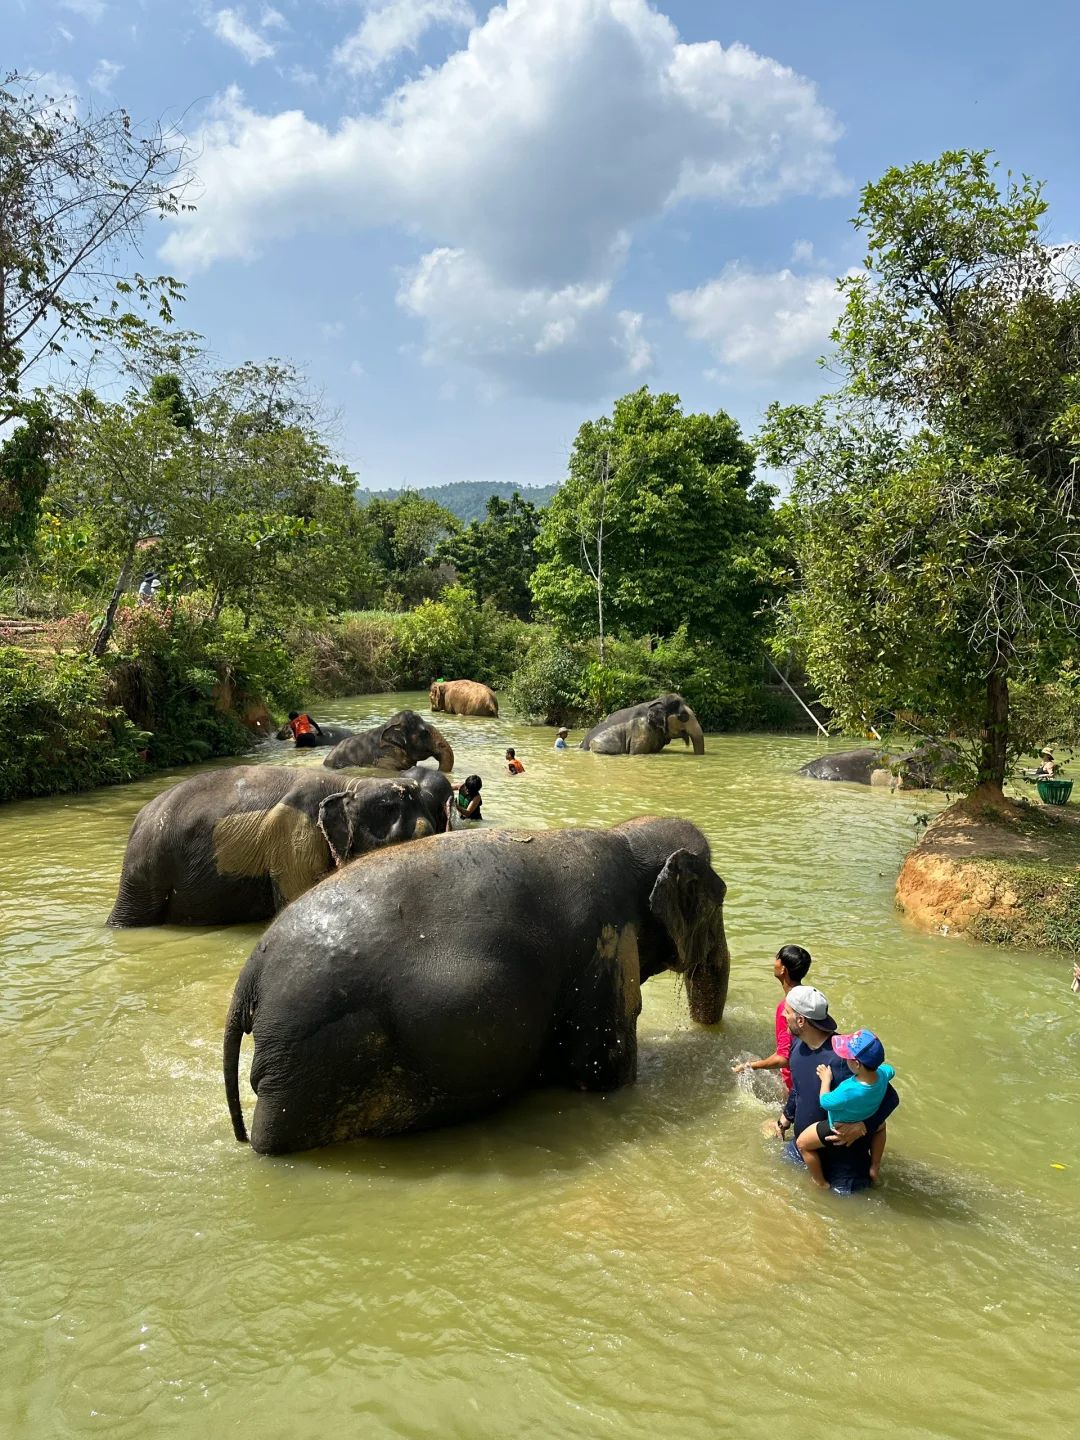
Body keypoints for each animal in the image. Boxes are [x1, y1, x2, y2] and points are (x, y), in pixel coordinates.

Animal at [224, 815, 730, 1155]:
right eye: (719, 897)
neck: (623, 837)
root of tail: (251, 977)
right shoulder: (605, 940)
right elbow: (601, 1066)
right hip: (313, 1064)